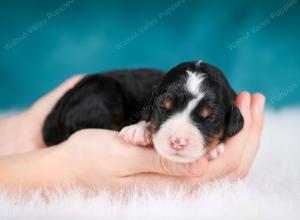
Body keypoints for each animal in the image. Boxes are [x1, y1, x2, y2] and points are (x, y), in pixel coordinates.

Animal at [42, 61, 244, 162]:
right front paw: (138, 131)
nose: (177, 141)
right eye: (163, 108)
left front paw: (215, 148)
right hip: (101, 93)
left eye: (209, 118)